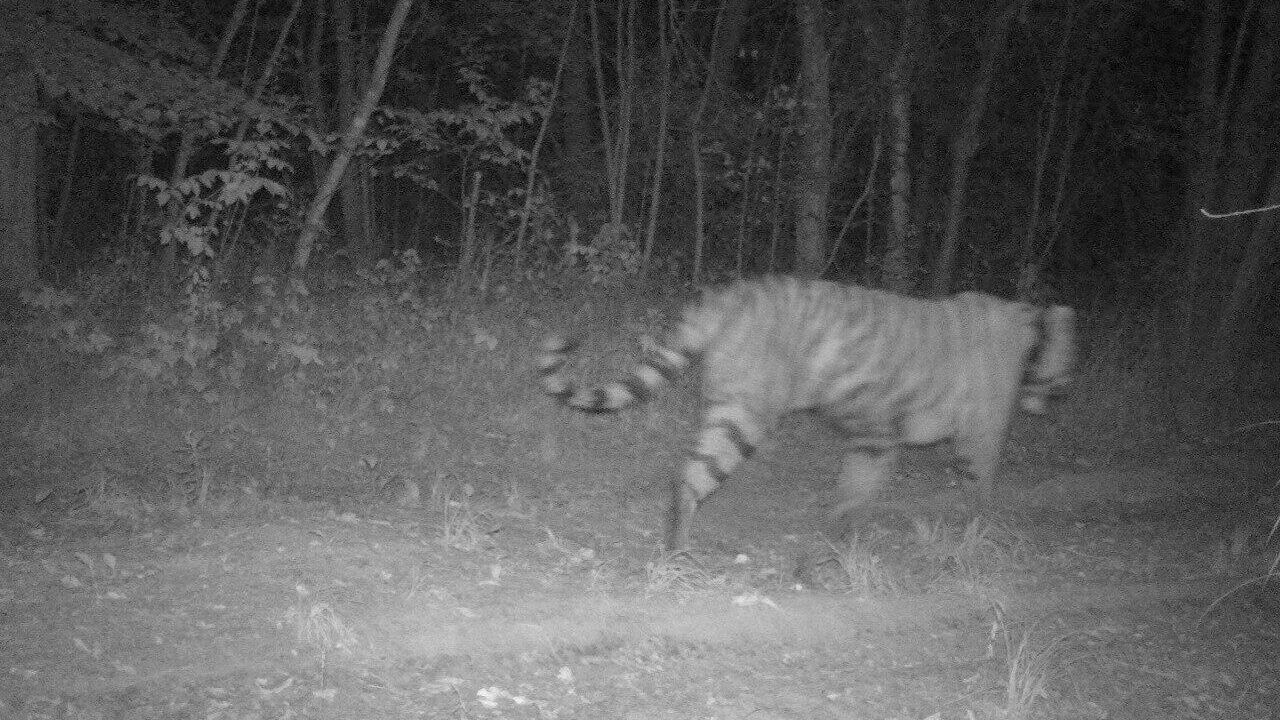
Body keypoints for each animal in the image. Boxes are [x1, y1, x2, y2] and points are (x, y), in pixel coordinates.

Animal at [535, 274, 1075, 548]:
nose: (1065, 392)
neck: (1029, 335)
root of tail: (730, 295)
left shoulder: (875, 433)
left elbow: (855, 488)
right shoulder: (974, 434)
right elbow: (978, 487)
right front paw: (981, 531)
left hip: (730, 408)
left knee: (684, 477)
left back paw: (676, 545)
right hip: (745, 416)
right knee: (694, 478)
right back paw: (679, 552)